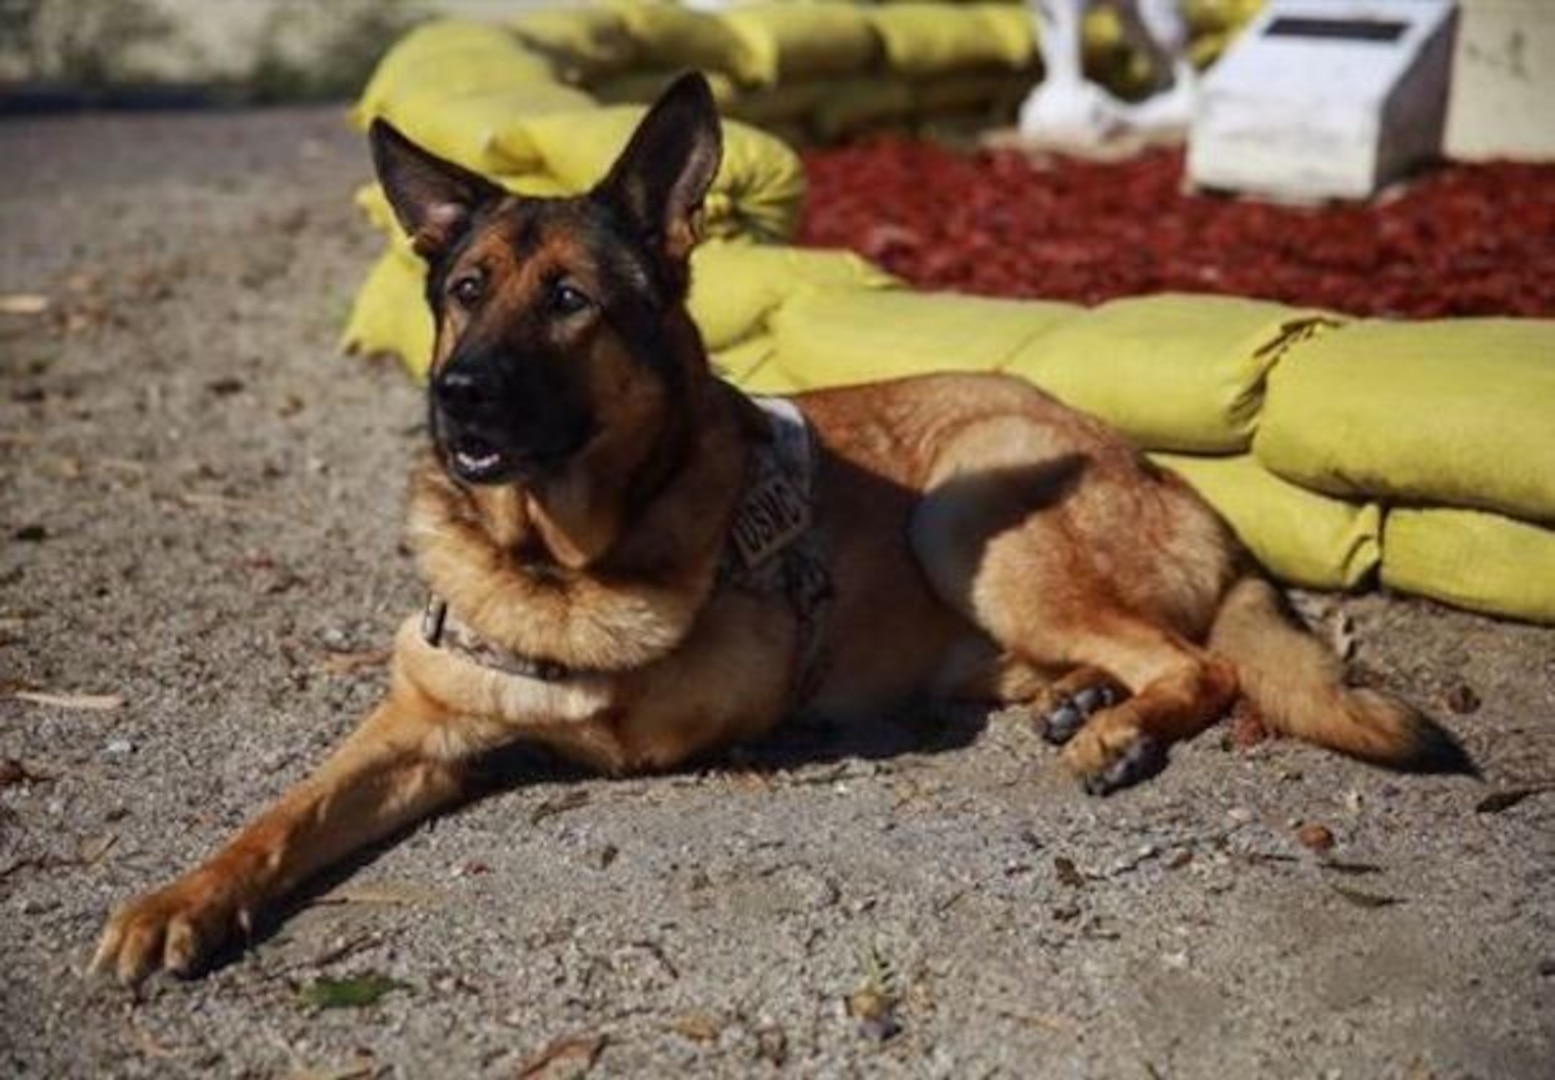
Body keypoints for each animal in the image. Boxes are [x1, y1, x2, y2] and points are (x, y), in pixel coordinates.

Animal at [88, 73, 1467, 988]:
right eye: (466, 290)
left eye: (571, 300)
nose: (457, 397)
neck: (556, 554)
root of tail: (1169, 480)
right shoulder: (411, 728)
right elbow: (282, 815)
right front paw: (181, 901)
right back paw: (1077, 700)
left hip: (968, 502)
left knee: (1200, 662)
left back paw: (1115, 726)